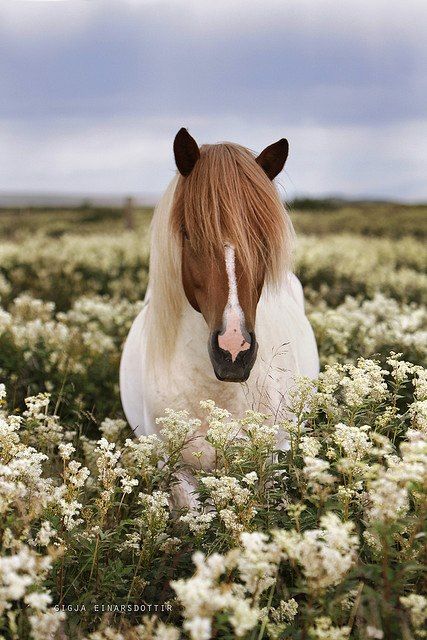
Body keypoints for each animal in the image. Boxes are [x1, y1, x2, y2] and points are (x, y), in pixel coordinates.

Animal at [118, 130, 320, 508]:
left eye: (262, 237)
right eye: (187, 233)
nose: (233, 351)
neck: (216, 393)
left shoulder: (271, 464)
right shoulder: (177, 471)